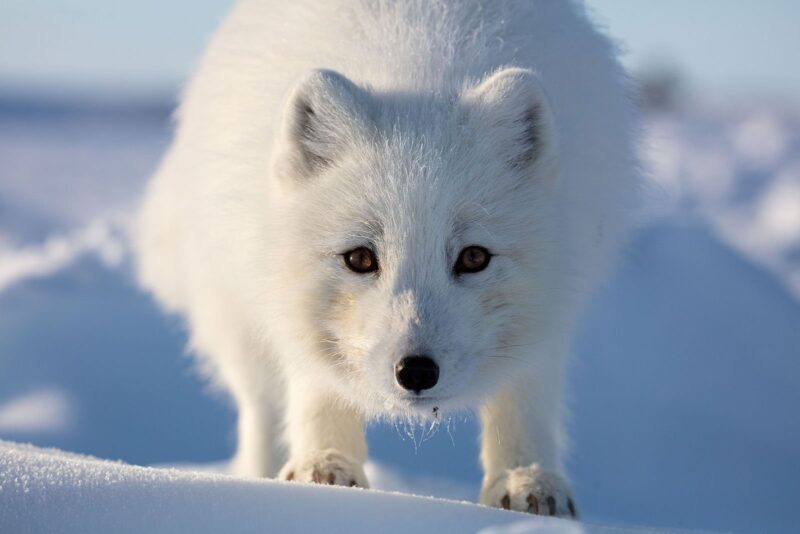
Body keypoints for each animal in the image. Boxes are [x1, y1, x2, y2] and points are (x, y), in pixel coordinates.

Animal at [136, 0, 636, 520]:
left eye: (474, 257)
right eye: (360, 258)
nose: (416, 371)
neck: (419, 62)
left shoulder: (555, 305)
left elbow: (524, 395)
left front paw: (526, 481)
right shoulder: (290, 307)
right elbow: (317, 386)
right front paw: (324, 468)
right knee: (261, 409)